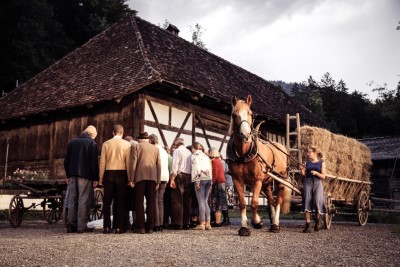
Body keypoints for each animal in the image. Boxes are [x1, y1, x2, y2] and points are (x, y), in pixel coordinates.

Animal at [228, 95, 290, 236]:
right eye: (234, 114)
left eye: (250, 113)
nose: (245, 135)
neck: (244, 155)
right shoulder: (237, 180)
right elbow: (243, 203)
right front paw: (244, 227)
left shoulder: (257, 180)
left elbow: (254, 202)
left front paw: (257, 222)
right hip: (266, 182)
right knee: (271, 200)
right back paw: (273, 222)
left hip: (280, 180)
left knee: (278, 200)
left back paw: (276, 224)